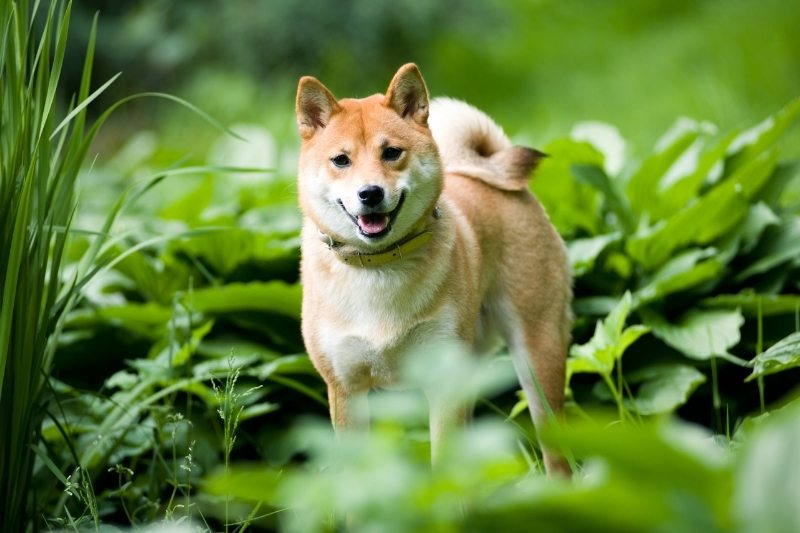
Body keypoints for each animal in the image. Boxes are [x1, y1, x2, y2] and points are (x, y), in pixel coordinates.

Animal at [296, 63, 572, 474]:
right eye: (341, 160)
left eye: (391, 152)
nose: (370, 193)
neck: (379, 268)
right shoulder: (346, 389)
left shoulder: (442, 383)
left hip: (538, 359)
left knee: (557, 457)